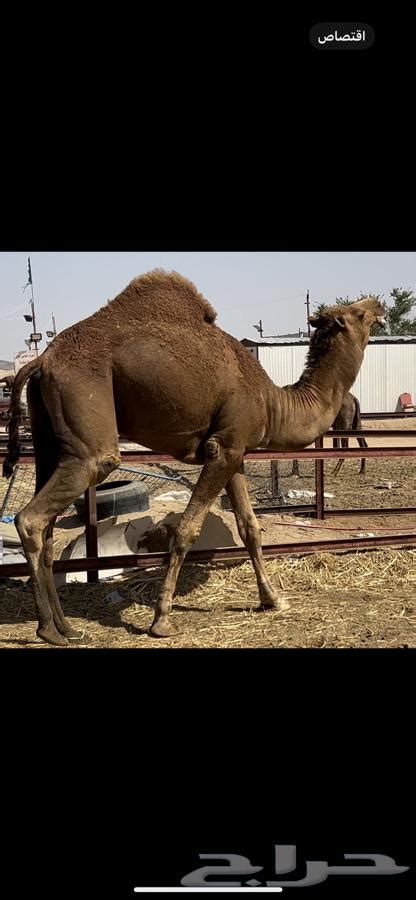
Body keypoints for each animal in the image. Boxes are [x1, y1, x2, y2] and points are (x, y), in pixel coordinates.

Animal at [2, 270, 386, 644]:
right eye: (357, 313)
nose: (378, 304)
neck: (273, 401)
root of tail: (41, 360)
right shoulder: (222, 449)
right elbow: (187, 530)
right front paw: (162, 620)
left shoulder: (234, 451)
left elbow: (250, 527)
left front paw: (273, 599)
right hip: (86, 418)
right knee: (37, 514)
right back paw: (48, 629)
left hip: (48, 439)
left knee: (47, 526)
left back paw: (66, 627)